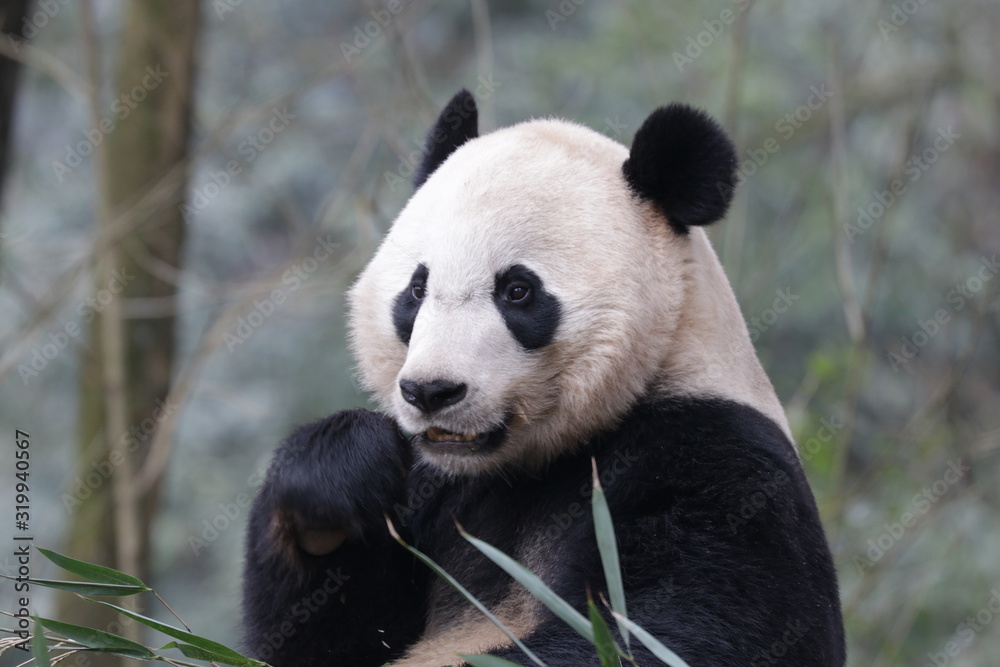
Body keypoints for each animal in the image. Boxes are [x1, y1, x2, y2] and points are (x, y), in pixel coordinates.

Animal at [241, 90, 845, 667]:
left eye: (517, 290)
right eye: (416, 289)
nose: (431, 391)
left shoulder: (718, 459)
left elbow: (684, 629)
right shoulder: (436, 488)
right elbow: (319, 641)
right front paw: (339, 478)